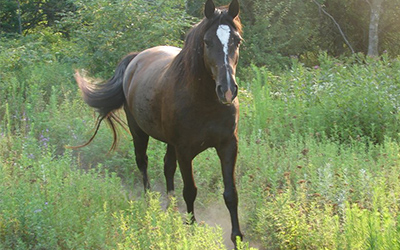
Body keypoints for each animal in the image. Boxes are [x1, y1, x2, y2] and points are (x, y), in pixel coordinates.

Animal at [75, 0, 244, 244]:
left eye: (237, 41)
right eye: (207, 42)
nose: (228, 90)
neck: (205, 102)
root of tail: (136, 58)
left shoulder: (228, 145)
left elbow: (231, 193)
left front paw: (237, 237)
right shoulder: (185, 150)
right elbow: (190, 190)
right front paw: (191, 230)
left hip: (170, 142)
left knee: (167, 166)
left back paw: (171, 208)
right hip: (138, 131)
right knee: (142, 162)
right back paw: (149, 202)